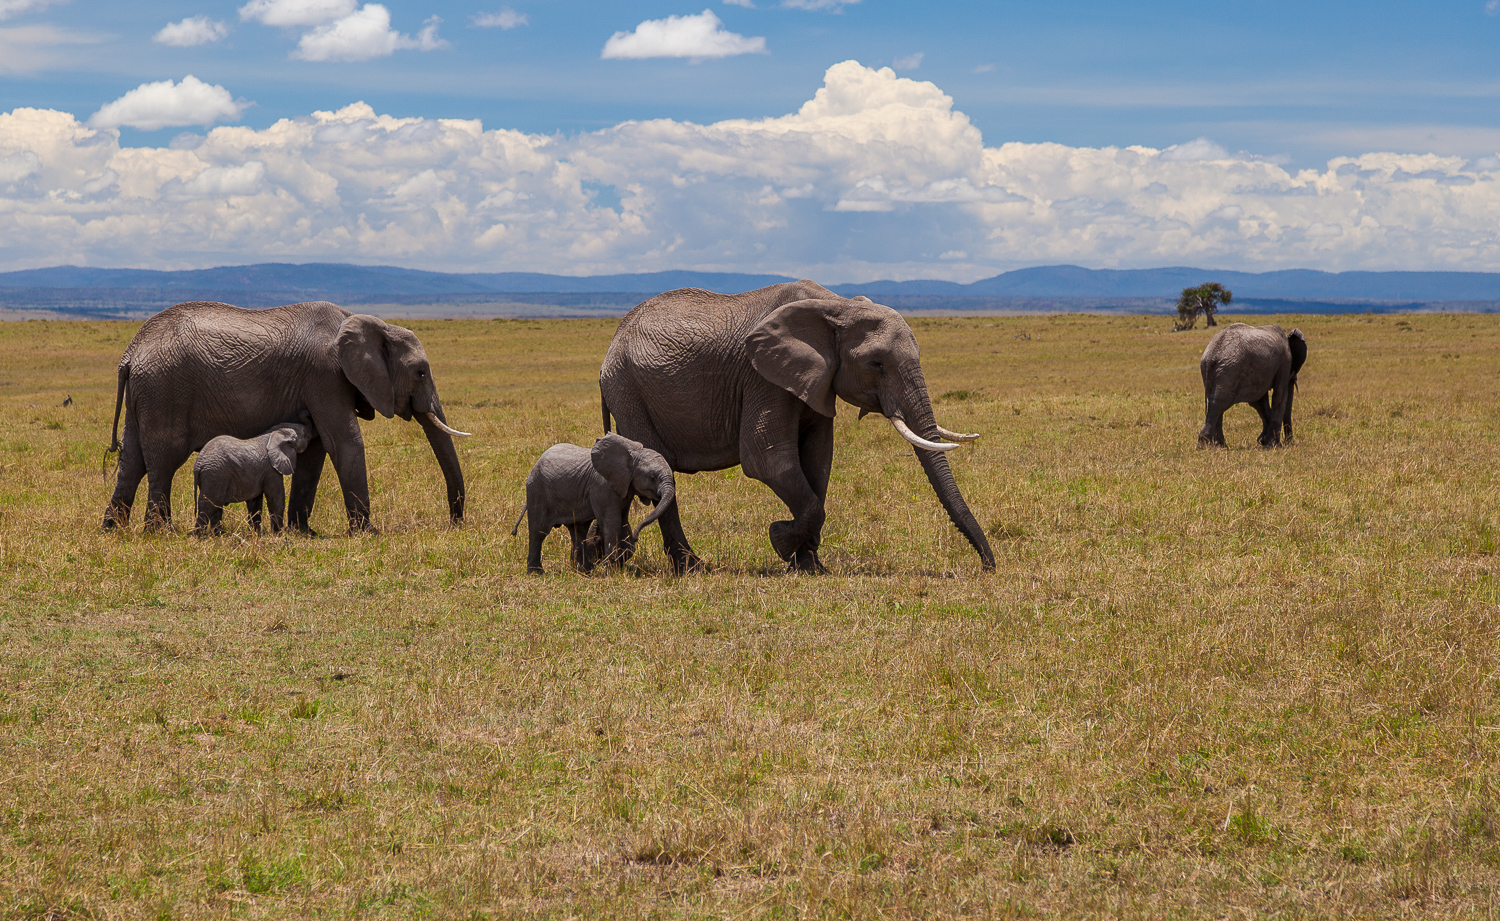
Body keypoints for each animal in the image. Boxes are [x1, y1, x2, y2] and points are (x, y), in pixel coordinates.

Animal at [104, 303, 468, 534]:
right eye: (421, 372)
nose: (455, 524)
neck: (364, 321)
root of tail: (130, 354)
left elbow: (316, 452)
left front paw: (303, 532)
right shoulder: (325, 375)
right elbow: (344, 443)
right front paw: (369, 533)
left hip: (146, 394)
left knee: (132, 460)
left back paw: (113, 529)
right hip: (165, 391)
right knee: (162, 462)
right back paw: (159, 532)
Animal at [516, 435, 681, 576]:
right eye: (652, 477)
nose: (636, 537)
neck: (632, 454)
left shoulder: (625, 488)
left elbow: (622, 521)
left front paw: (617, 565)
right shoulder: (602, 487)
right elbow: (612, 522)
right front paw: (611, 573)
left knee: (578, 531)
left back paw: (585, 570)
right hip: (537, 490)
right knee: (539, 531)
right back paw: (536, 573)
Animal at [597, 279, 996, 576]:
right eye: (877, 363)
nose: (988, 567)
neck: (837, 307)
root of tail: (611, 346)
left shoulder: (816, 380)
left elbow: (818, 463)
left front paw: (810, 564)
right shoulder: (762, 375)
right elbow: (767, 459)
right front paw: (781, 540)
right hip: (629, 389)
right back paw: (690, 567)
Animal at [1200, 322, 1308, 450]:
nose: (1289, 441)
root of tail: (1212, 356)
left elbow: (1259, 402)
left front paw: (1264, 441)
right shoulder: (1285, 362)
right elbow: (1279, 396)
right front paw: (1274, 445)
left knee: (1216, 403)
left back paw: (1220, 446)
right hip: (1229, 371)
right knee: (1219, 402)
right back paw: (1205, 446)